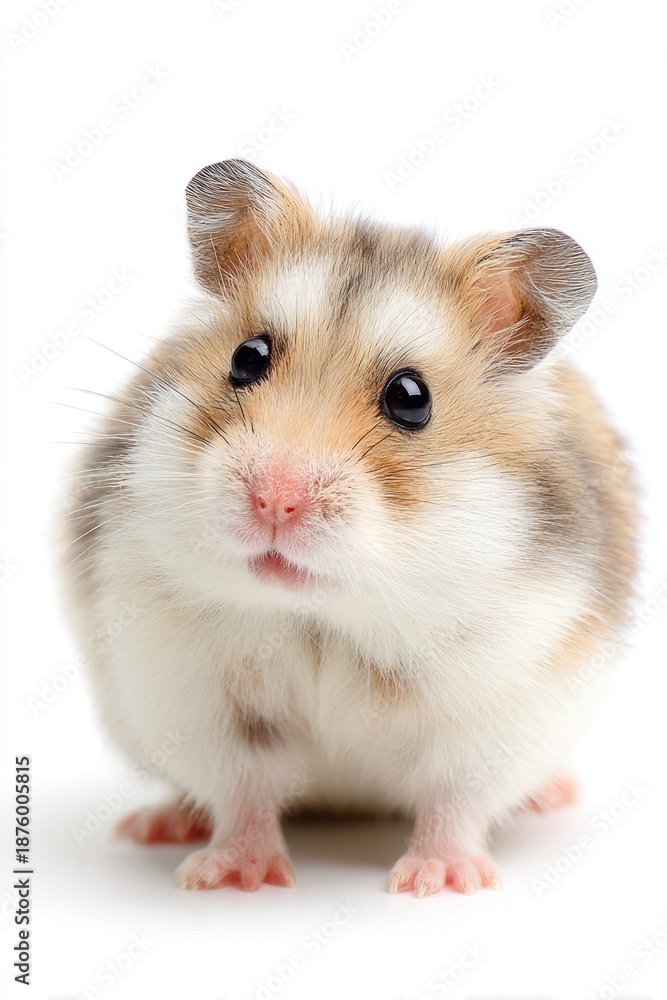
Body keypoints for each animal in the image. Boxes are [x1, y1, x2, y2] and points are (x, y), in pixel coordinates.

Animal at [60, 159, 637, 896]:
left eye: (410, 399)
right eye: (247, 357)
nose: (274, 502)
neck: (325, 615)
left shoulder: (501, 702)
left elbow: (455, 798)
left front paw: (437, 882)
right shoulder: (199, 699)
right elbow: (242, 790)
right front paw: (233, 878)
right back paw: (159, 825)